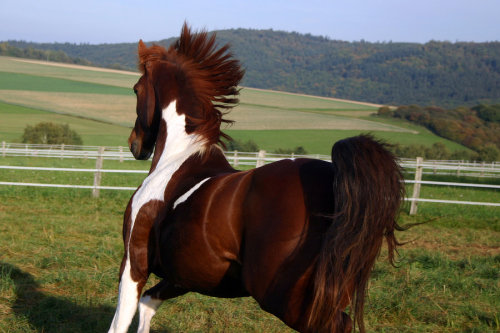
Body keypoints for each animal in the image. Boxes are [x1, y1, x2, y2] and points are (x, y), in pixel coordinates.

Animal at [107, 24, 404, 332]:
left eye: (136, 89)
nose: (135, 145)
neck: (178, 156)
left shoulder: (134, 260)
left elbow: (120, 320)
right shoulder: (187, 274)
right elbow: (148, 304)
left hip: (286, 299)